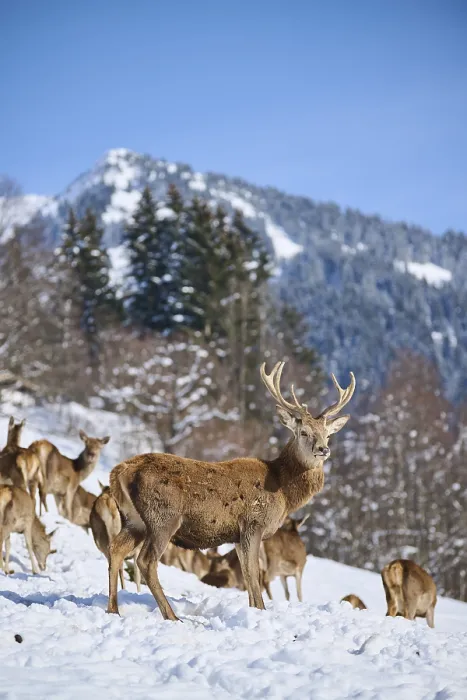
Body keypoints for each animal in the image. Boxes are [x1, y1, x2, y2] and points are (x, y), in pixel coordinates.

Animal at [106, 359, 355, 621]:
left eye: (328, 434)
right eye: (304, 432)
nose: (323, 449)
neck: (284, 492)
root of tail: (120, 471)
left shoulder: (237, 535)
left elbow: (245, 573)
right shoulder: (254, 522)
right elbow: (254, 574)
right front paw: (261, 611)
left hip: (134, 520)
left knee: (115, 548)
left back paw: (113, 609)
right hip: (163, 517)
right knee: (146, 561)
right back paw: (172, 616)